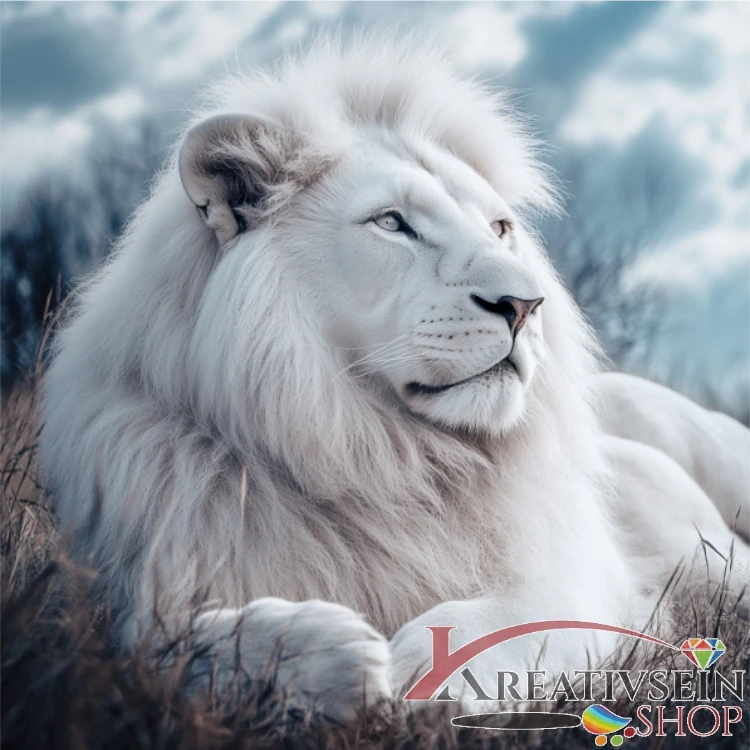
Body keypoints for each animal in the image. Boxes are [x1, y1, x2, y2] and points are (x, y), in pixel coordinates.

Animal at [40, 35, 750, 720]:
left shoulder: (584, 577)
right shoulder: (133, 598)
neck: (386, 455)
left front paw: (429, 670)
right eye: (392, 223)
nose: (526, 305)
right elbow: (170, 650)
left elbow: (520, 616)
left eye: (499, 227)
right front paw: (323, 656)